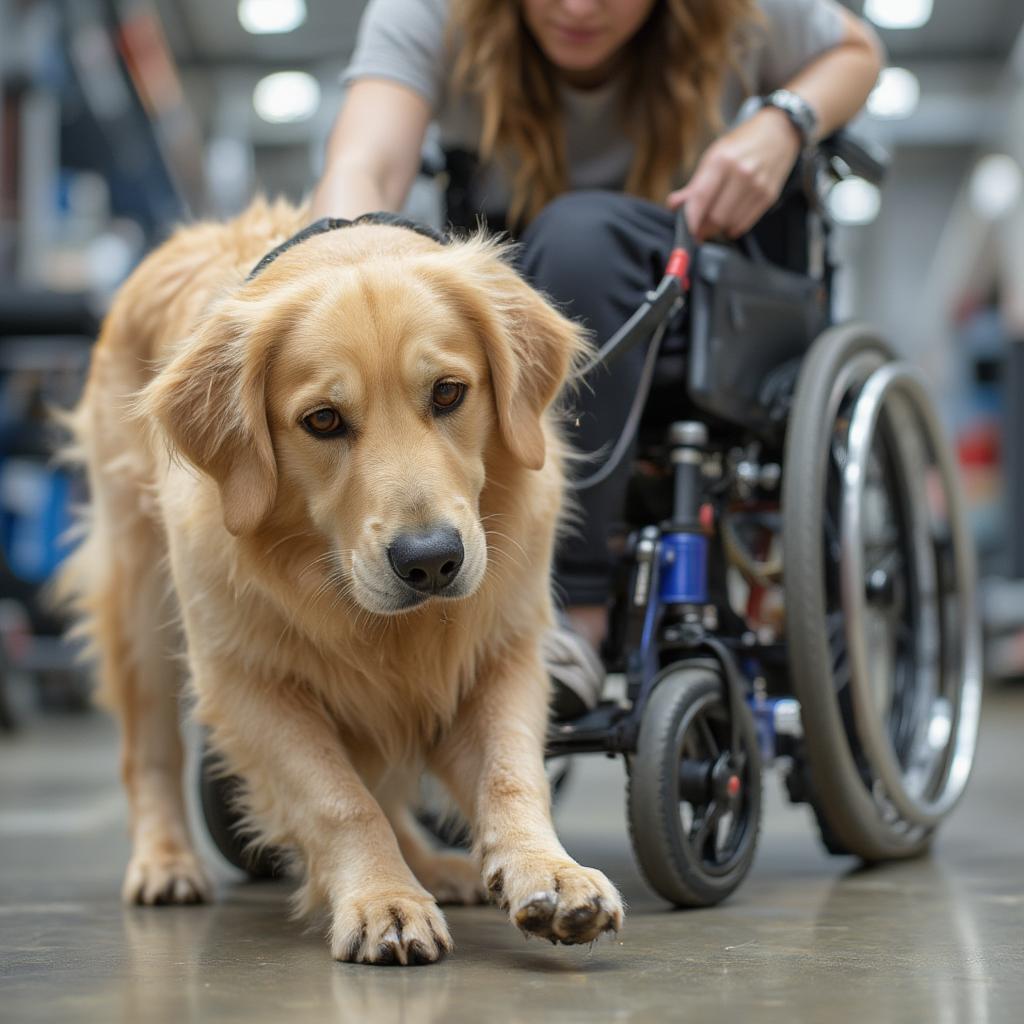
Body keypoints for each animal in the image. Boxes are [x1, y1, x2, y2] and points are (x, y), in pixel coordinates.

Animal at [61, 197, 622, 958]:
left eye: (449, 393)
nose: (430, 560)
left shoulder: (500, 651)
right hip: (139, 597)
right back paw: (166, 862)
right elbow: (340, 799)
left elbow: (512, 773)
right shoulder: (247, 681)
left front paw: (549, 871)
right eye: (322, 420)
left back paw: (433, 866)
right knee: (148, 747)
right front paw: (383, 899)